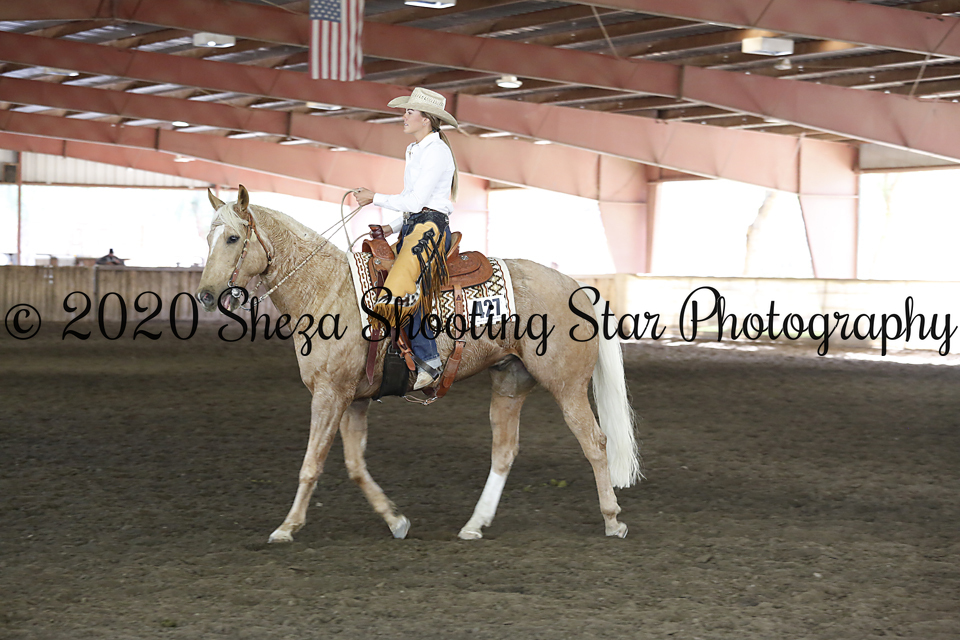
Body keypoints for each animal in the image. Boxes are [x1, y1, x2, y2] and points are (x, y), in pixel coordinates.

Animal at [196, 185, 640, 543]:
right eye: (208, 237)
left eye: (233, 237)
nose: (205, 295)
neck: (327, 289)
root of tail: (577, 287)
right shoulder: (353, 399)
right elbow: (355, 466)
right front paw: (396, 521)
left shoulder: (328, 394)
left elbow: (312, 463)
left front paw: (287, 527)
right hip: (510, 381)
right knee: (504, 451)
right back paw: (474, 525)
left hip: (567, 386)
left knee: (595, 443)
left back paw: (613, 519)